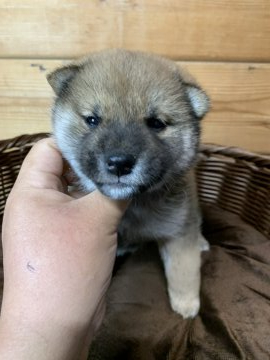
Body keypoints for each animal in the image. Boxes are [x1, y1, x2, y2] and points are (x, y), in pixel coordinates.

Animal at [47, 48, 210, 318]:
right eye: (92, 120)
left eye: (156, 123)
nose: (119, 163)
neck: (134, 208)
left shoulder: (178, 232)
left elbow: (184, 271)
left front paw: (186, 303)